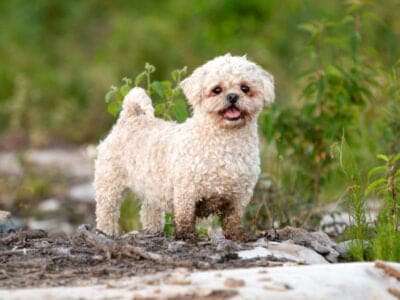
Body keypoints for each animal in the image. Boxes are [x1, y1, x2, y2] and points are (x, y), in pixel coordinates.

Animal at [94, 54, 276, 240]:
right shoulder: (186, 189)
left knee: (149, 211)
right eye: (217, 89)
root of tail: (130, 116)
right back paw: (105, 232)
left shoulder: (240, 195)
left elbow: (233, 218)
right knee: (106, 212)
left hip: (151, 189)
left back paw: (154, 232)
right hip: (110, 184)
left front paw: (238, 235)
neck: (226, 142)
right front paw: (186, 235)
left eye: (245, 88)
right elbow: (185, 216)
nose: (233, 96)